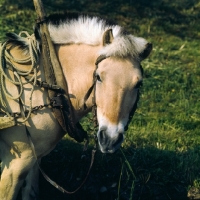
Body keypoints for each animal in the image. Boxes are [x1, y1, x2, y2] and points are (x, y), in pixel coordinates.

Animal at [0, 13, 151, 198]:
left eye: (139, 84)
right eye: (98, 76)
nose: (110, 139)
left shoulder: (35, 161)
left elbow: (31, 192)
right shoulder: (16, 165)